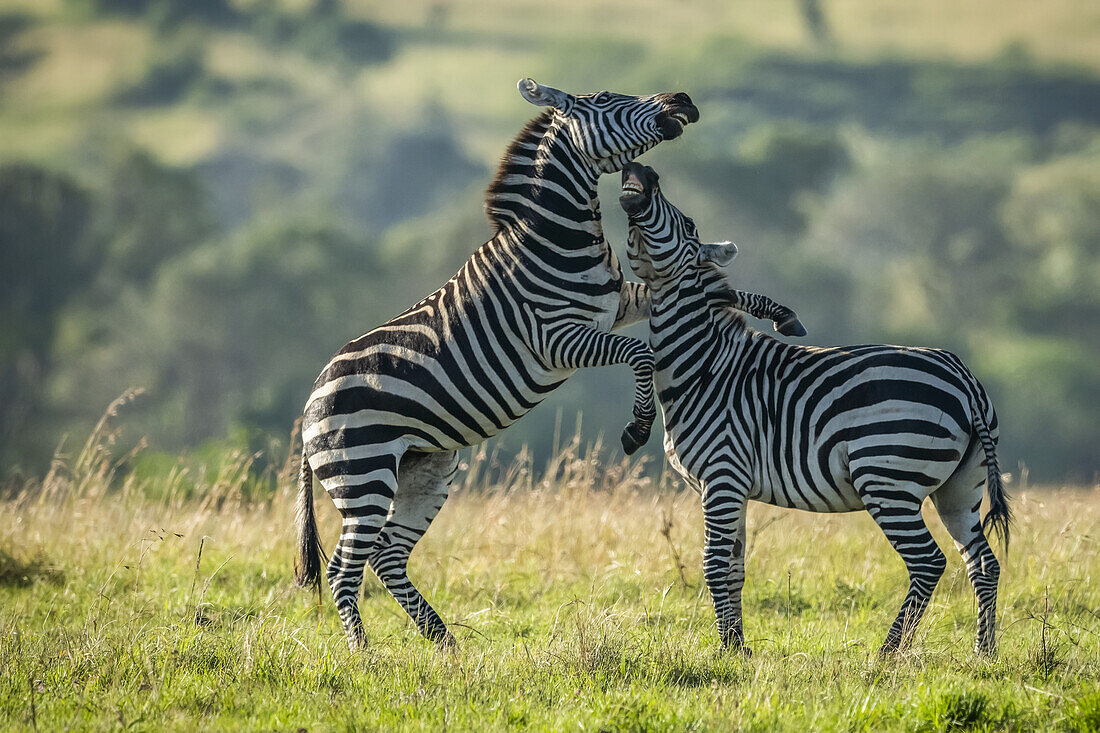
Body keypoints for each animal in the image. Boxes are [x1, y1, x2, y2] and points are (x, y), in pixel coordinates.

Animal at [292, 79, 712, 647]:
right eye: (605, 97)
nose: (683, 100)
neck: (556, 238)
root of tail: (312, 399)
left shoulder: (618, 302)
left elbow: (663, 303)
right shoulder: (557, 339)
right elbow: (639, 353)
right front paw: (637, 428)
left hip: (426, 471)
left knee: (387, 556)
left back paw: (444, 643)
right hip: (363, 473)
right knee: (344, 568)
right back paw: (363, 653)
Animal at [616, 163, 1007, 655]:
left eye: (686, 223)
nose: (641, 169)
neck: (702, 363)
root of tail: (964, 378)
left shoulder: (721, 477)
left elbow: (712, 564)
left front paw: (725, 650)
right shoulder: (734, 487)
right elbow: (734, 568)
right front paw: (738, 648)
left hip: (888, 480)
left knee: (928, 562)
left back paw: (887, 653)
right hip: (960, 487)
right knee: (983, 563)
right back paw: (983, 653)